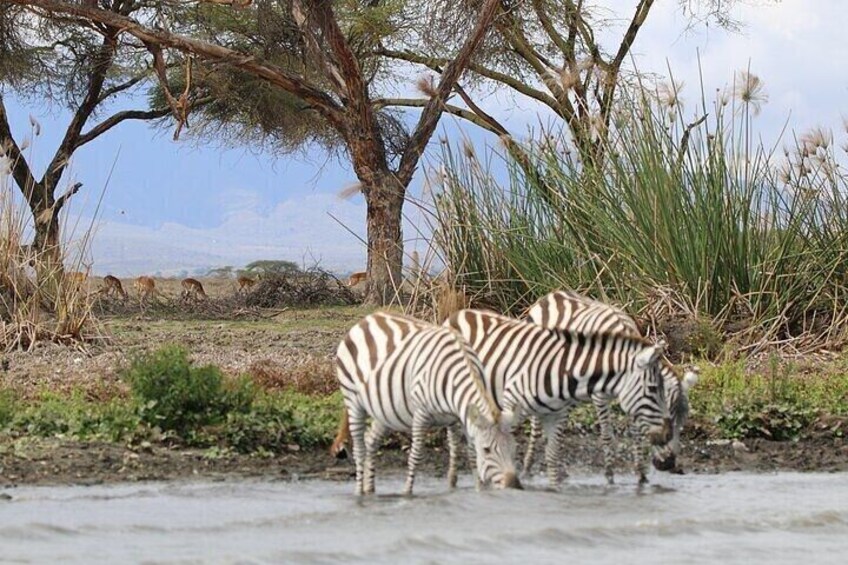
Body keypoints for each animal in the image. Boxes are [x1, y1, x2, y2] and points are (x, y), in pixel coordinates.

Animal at [334, 310, 520, 496]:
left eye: (513, 448)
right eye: (487, 450)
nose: (514, 485)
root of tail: (367, 319)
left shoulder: (461, 416)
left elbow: (472, 455)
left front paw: (479, 491)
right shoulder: (421, 413)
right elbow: (416, 455)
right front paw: (407, 493)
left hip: (384, 410)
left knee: (370, 440)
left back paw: (369, 488)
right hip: (353, 402)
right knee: (359, 449)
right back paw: (359, 492)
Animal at [444, 306, 668, 486]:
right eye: (653, 388)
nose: (665, 437)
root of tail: (458, 313)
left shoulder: (558, 414)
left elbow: (552, 454)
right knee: (454, 437)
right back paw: (453, 479)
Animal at [524, 288, 704, 482]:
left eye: (682, 423)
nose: (669, 464)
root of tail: (552, 294)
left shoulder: (634, 397)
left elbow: (636, 436)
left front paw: (641, 477)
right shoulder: (599, 396)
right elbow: (606, 435)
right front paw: (610, 476)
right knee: (535, 423)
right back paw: (528, 466)